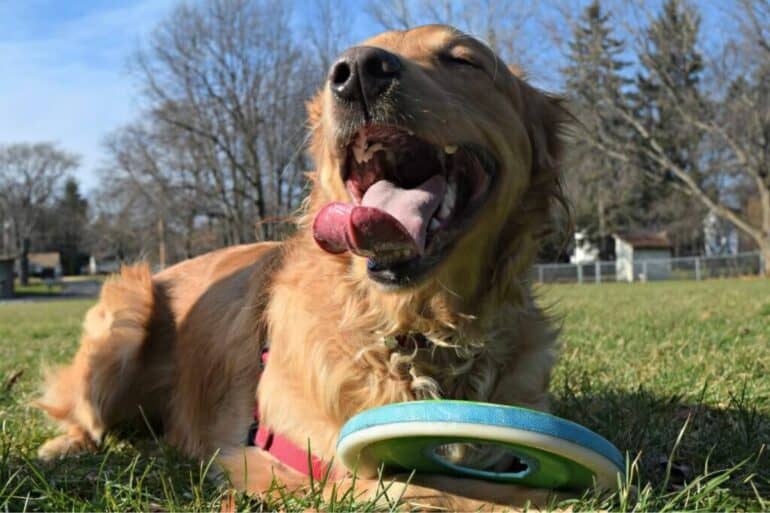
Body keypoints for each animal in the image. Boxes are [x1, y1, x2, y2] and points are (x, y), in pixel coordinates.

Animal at [34, 25, 564, 512]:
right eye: (343, 68)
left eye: (463, 60)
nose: (358, 71)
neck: (416, 333)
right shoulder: (280, 460)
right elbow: (419, 489)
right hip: (125, 317)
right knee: (85, 416)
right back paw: (63, 448)